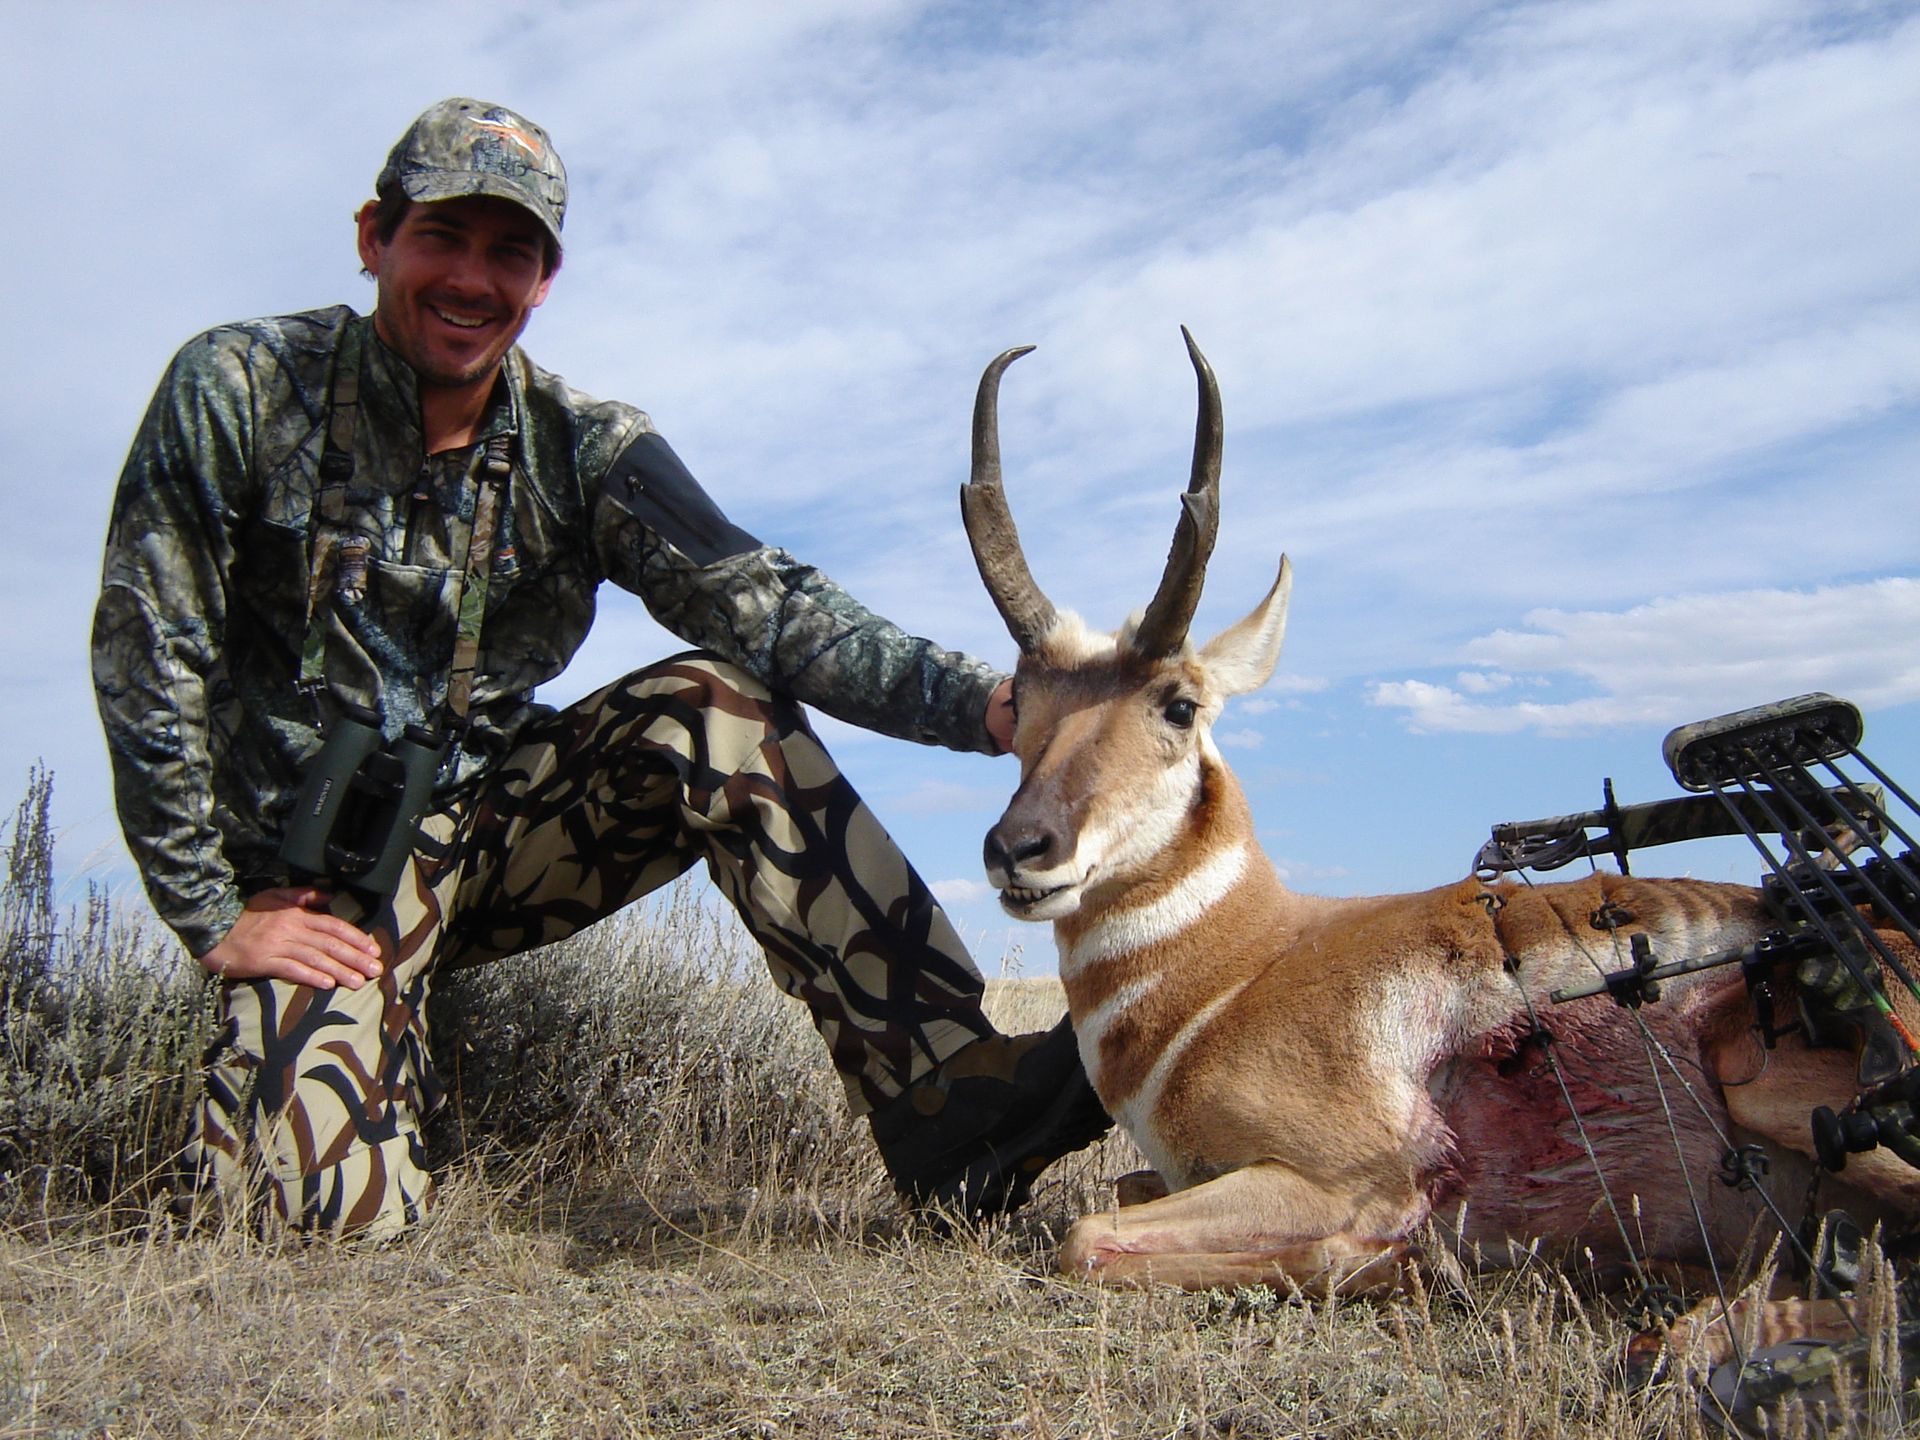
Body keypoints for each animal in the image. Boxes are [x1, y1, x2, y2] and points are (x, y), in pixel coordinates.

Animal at [962, 331, 1920, 1333]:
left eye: (1179, 704)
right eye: (1021, 702)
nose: (1019, 849)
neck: (1242, 964)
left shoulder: (1337, 1171)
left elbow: (1089, 1236)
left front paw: (1393, 1262)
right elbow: (1117, 1201)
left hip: (1774, 1083)